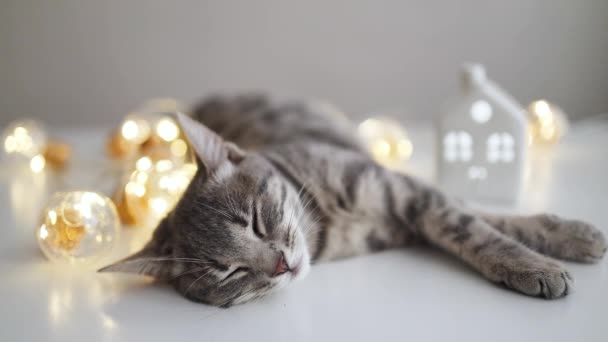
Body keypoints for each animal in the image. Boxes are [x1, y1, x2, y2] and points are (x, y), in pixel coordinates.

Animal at [101, 94, 608, 308]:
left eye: (255, 222)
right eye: (230, 273)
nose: (281, 265)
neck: (328, 222)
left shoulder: (408, 190)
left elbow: (480, 225)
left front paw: (560, 244)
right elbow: (475, 224)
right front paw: (539, 260)